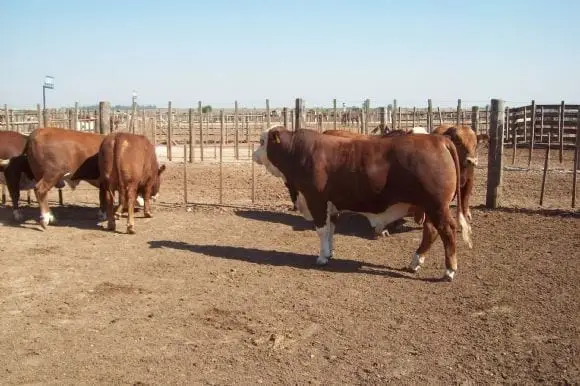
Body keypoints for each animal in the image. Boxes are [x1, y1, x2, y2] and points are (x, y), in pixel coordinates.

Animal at [253, 126, 472, 280]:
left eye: (262, 141)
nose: (254, 154)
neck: (297, 153)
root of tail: (438, 139)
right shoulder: (332, 206)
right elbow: (331, 229)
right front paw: (330, 252)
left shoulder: (316, 201)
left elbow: (322, 231)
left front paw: (322, 257)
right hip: (429, 207)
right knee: (431, 231)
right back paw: (415, 262)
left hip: (437, 206)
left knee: (447, 231)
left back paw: (449, 271)